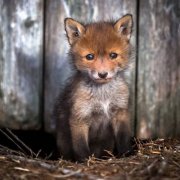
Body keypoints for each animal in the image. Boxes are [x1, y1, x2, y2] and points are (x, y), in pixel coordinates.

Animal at [54, 14, 134, 162]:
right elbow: (81, 147)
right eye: (90, 56)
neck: (103, 96)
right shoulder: (79, 118)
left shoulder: (120, 112)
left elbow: (123, 139)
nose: (102, 74)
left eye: (113, 55)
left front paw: (127, 155)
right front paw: (86, 162)